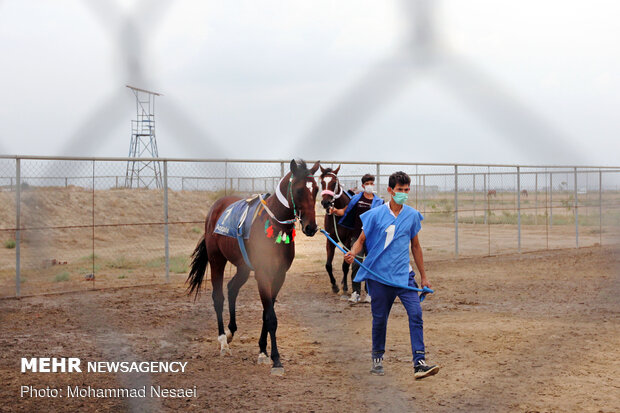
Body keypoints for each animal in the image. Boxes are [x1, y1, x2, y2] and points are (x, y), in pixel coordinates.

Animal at [188, 159, 320, 374]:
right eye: (299, 190)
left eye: (316, 189)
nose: (311, 227)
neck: (274, 225)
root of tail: (216, 208)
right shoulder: (263, 275)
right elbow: (271, 317)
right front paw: (276, 360)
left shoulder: (279, 275)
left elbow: (267, 313)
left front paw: (263, 352)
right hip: (217, 260)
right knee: (218, 297)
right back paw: (223, 342)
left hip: (243, 267)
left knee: (232, 288)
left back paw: (231, 332)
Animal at [320, 164, 354, 292]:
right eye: (322, 182)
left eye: (334, 183)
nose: (325, 203)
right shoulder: (330, 239)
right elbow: (328, 265)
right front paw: (334, 285)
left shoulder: (347, 240)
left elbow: (345, 265)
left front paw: (345, 286)